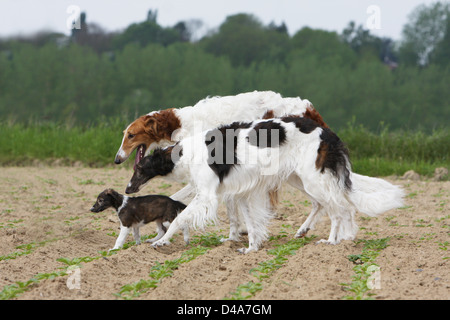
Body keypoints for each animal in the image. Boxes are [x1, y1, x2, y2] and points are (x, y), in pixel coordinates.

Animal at [124, 116, 404, 254]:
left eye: (138, 169)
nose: (127, 189)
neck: (184, 153)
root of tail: (328, 133)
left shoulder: (207, 196)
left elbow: (180, 218)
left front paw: (161, 241)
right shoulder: (242, 193)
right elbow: (250, 223)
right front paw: (251, 248)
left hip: (313, 179)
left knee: (340, 210)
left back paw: (332, 242)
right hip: (300, 178)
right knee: (327, 206)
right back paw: (321, 234)